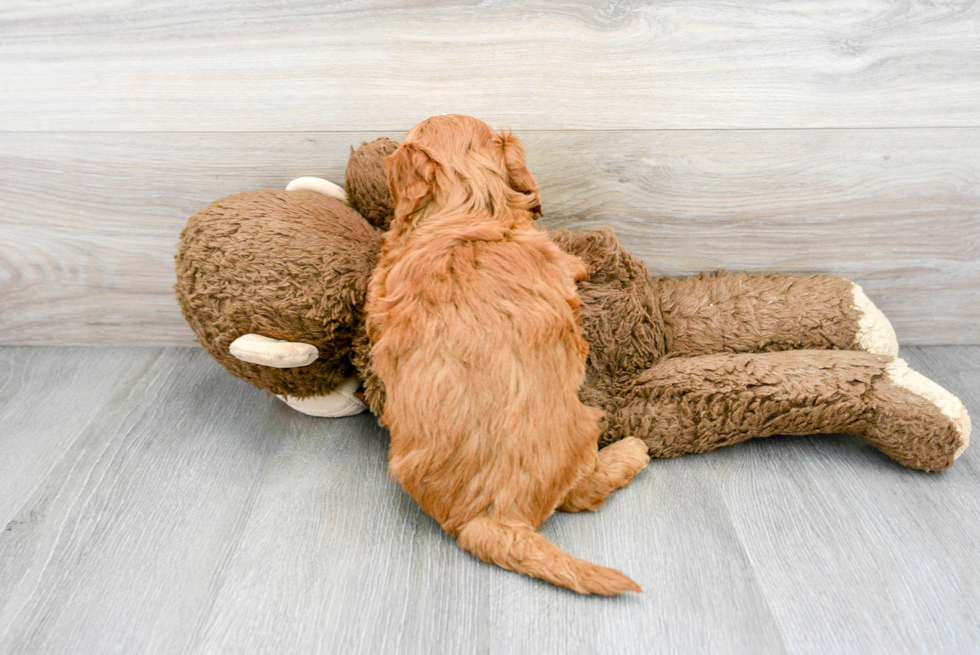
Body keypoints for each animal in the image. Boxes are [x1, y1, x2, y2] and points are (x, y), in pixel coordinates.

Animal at [364, 115, 648, 596]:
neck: (469, 207)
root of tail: (490, 518)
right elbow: (570, 266)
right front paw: (586, 263)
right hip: (583, 427)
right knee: (582, 492)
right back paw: (630, 453)